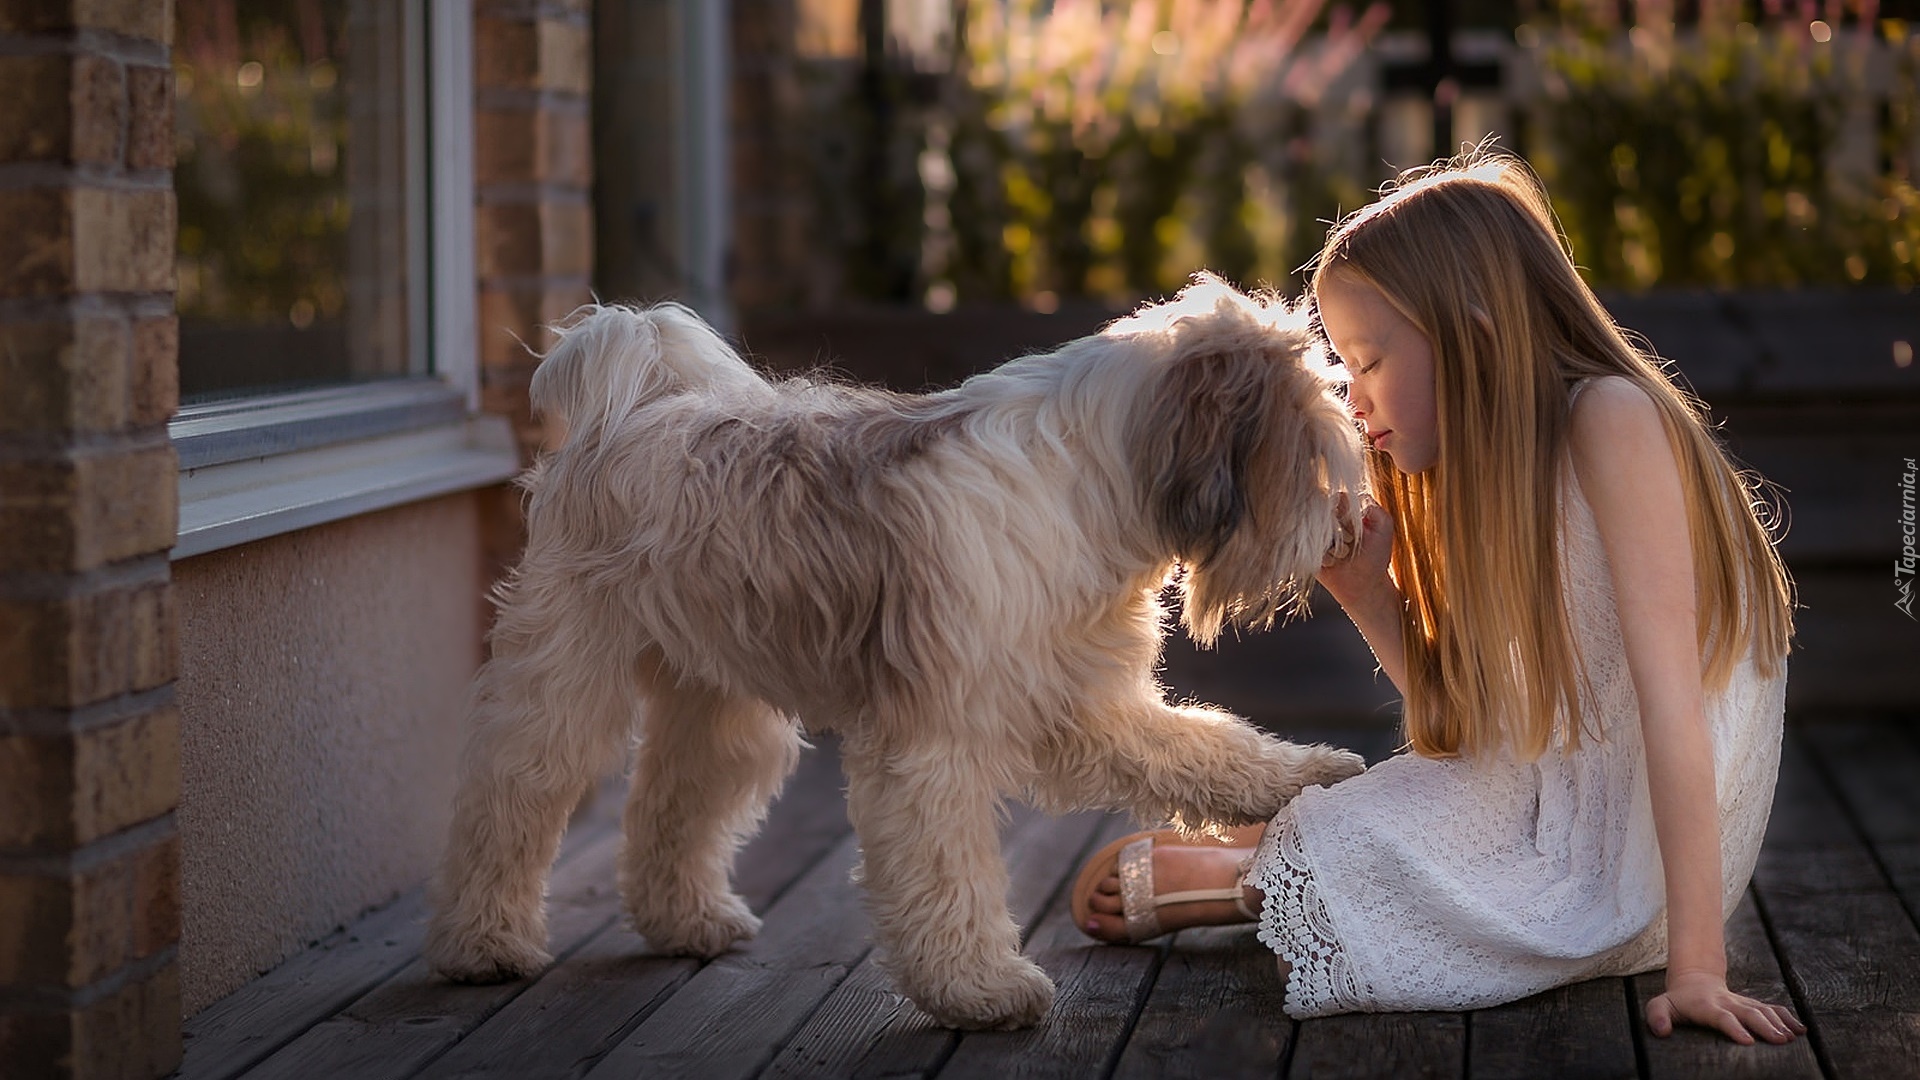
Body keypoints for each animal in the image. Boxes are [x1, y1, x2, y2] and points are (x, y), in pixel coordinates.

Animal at [428, 274, 1374, 1022]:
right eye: (1314, 451)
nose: (1343, 531)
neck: (1089, 483)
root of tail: (635, 407)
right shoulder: (936, 741)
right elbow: (949, 872)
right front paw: (979, 990)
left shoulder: (1082, 703)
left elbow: (1205, 747)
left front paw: (1309, 774)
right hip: (564, 682)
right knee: (508, 801)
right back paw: (485, 944)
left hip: (719, 707)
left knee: (673, 804)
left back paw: (687, 922)